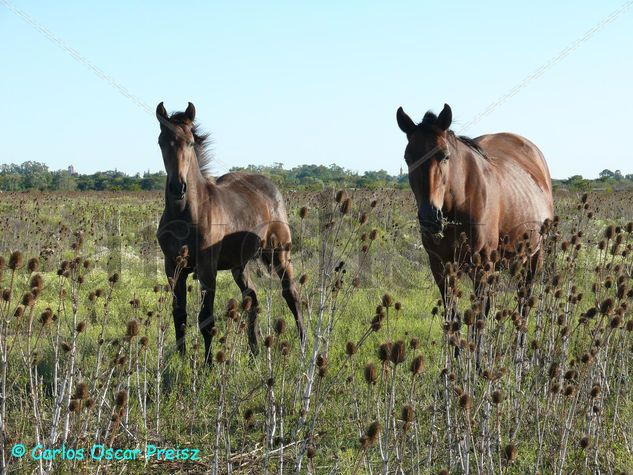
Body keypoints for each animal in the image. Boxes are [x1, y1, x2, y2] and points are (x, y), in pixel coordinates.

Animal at [155, 102, 304, 362]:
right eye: (161, 141)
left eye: (190, 142)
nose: (178, 187)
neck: (185, 214)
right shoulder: (172, 266)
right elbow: (179, 315)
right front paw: (181, 361)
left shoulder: (207, 267)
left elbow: (205, 318)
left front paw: (207, 365)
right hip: (239, 264)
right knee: (252, 297)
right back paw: (254, 351)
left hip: (280, 253)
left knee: (291, 293)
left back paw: (305, 345)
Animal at [398, 105, 552, 316]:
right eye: (408, 158)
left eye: (445, 155)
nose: (430, 218)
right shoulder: (440, 266)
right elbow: (451, 312)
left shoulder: (482, 265)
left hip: (534, 257)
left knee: (524, 301)